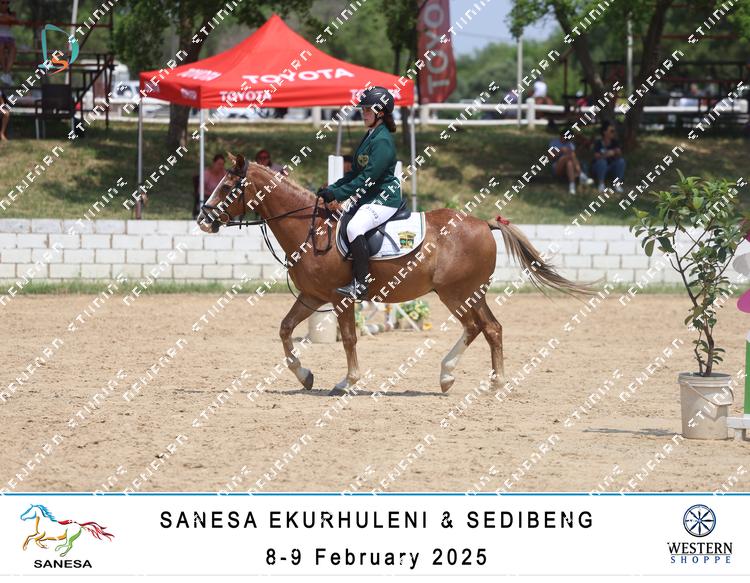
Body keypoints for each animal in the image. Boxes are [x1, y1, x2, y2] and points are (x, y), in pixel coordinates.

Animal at [197, 153, 591, 394]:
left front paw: (348, 381)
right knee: (489, 328)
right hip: (469, 293)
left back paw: (464, 377)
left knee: (478, 327)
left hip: (456, 293)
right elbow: (285, 329)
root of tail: (484, 223)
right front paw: (305, 376)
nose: (203, 219)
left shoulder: (340, 298)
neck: (312, 229)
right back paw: (474, 380)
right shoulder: (312, 296)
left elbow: (350, 339)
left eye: (228, 186)